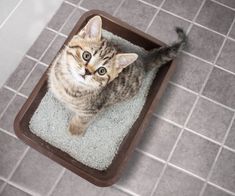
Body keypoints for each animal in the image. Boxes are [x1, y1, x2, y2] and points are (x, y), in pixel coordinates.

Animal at [48, 15, 187, 136]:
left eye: (102, 71)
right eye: (86, 55)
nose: (87, 72)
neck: (68, 82)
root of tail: (142, 60)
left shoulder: (91, 111)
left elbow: (82, 120)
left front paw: (74, 131)